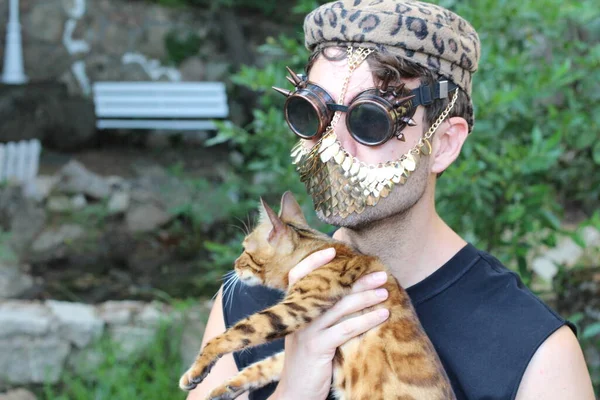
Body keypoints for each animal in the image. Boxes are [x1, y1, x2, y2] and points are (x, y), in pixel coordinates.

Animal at [179, 191, 454, 400]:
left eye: (245, 250)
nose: (234, 264)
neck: (317, 248)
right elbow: (268, 364)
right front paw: (224, 388)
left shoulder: (298, 306)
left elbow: (237, 332)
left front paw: (196, 370)